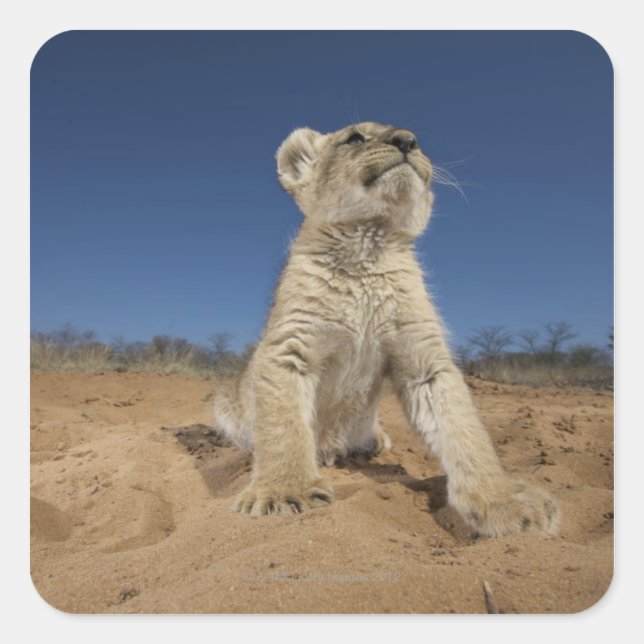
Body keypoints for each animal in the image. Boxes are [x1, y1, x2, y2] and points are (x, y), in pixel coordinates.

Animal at [213, 121, 560, 538]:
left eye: (416, 140)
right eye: (354, 138)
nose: (407, 141)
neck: (369, 243)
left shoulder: (425, 361)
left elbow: (466, 431)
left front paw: (504, 501)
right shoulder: (288, 348)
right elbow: (284, 429)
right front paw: (284, 491)